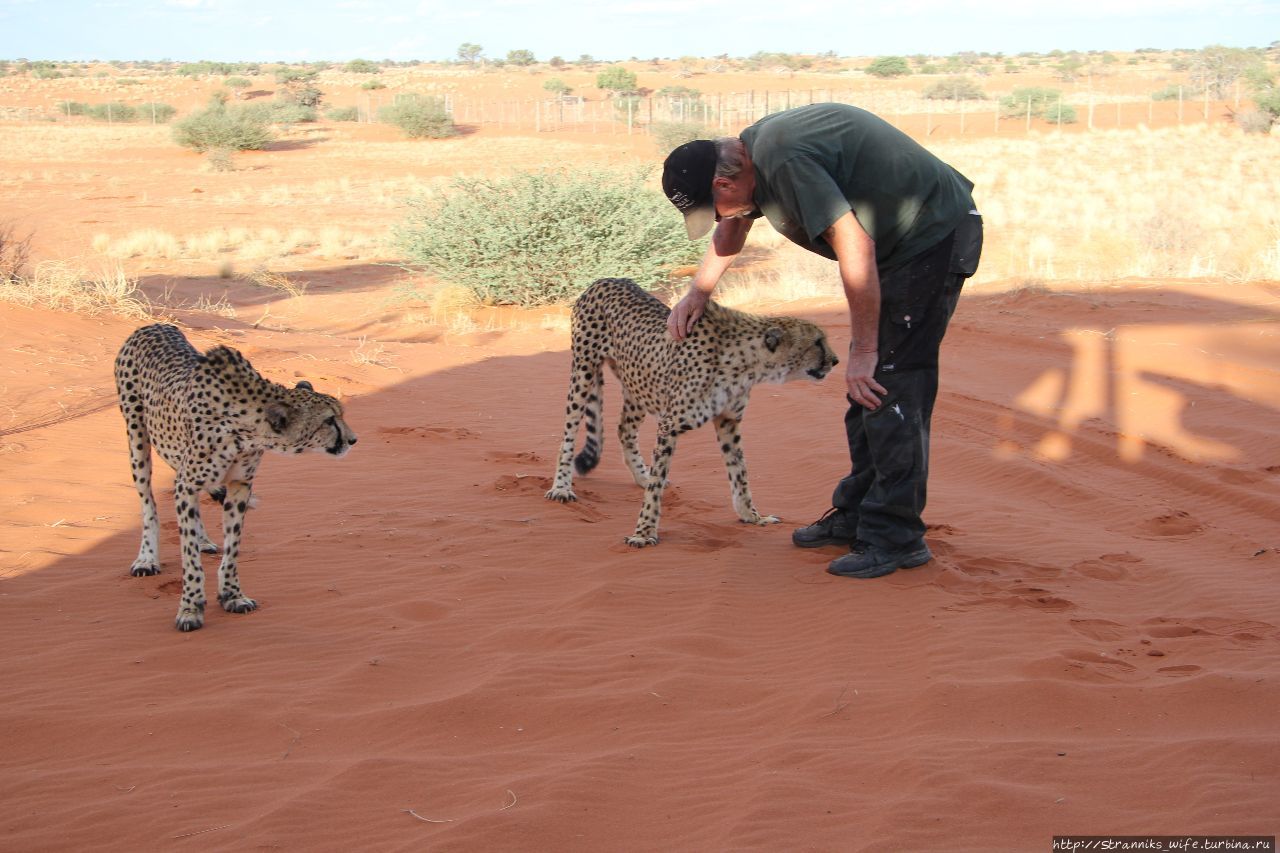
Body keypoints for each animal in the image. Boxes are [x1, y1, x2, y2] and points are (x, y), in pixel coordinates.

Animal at [115, 322, 358, 627]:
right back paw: (147, 558)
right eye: (328, 421)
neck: (246, 430)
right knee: (148, 501)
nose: (353, 440)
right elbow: (188, 556)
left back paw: (202, 539)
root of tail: (154, 324)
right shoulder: (189, 480)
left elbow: (232, 545)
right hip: (137, 438)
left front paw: (232, 595)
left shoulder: (240, 484)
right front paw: (190, 607)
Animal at [547, 279, 839, 545]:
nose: (836, 361)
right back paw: (561, 487)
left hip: (638, 384)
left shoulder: (728, 421)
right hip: (583, 372)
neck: (745, 363)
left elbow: (740, 473)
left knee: (624, 430)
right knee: (569, 433)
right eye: (817, 342)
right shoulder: (670, 425)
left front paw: (752, 516)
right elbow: (656, 488)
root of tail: (604, 280)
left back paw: (642, 475)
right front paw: (644, 532)